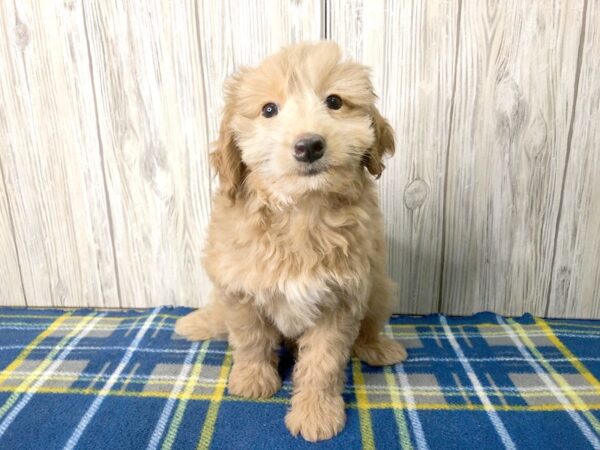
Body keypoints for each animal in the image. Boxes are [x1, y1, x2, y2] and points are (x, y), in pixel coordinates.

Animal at [175, 40, 408, 442]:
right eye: (269, 110)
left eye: (335, 101)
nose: (309, 146)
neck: (302, 209)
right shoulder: (239, 288)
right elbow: (250, 338)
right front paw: (253, 380)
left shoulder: (340, 299)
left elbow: (323, 362)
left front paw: (317, 412)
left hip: (379, 289)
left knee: (368, 328)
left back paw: (378, 348)